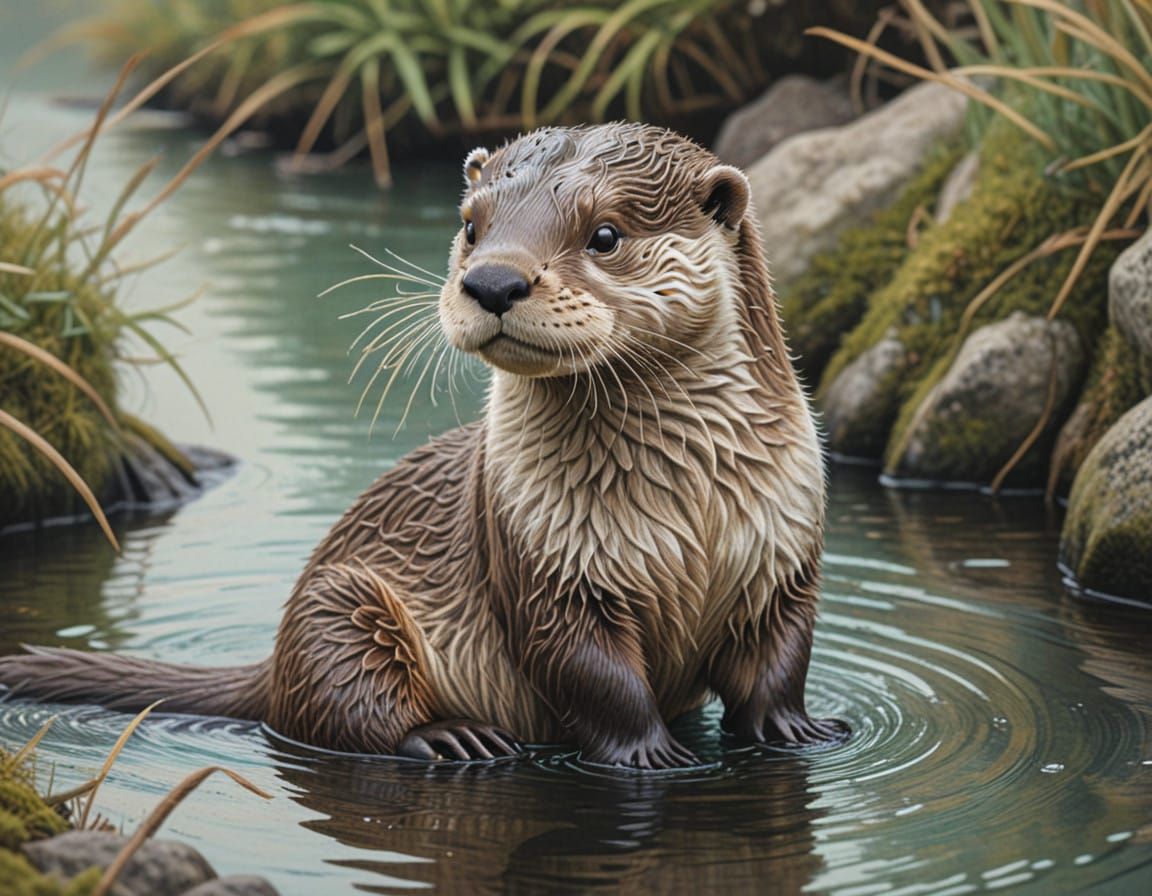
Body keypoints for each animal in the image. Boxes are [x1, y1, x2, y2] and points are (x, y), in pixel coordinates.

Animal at [0, 124, 841, 769]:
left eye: (605, 235)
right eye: (471, 225)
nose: (494, 281)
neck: (687, 503)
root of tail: (273, 663)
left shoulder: (784, 546)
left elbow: (780, 658)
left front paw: (796, 731)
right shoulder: (544, 561)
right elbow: (592, 673)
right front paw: (652, 752)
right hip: (338, 606)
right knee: (347, 707)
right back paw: (451, 737)